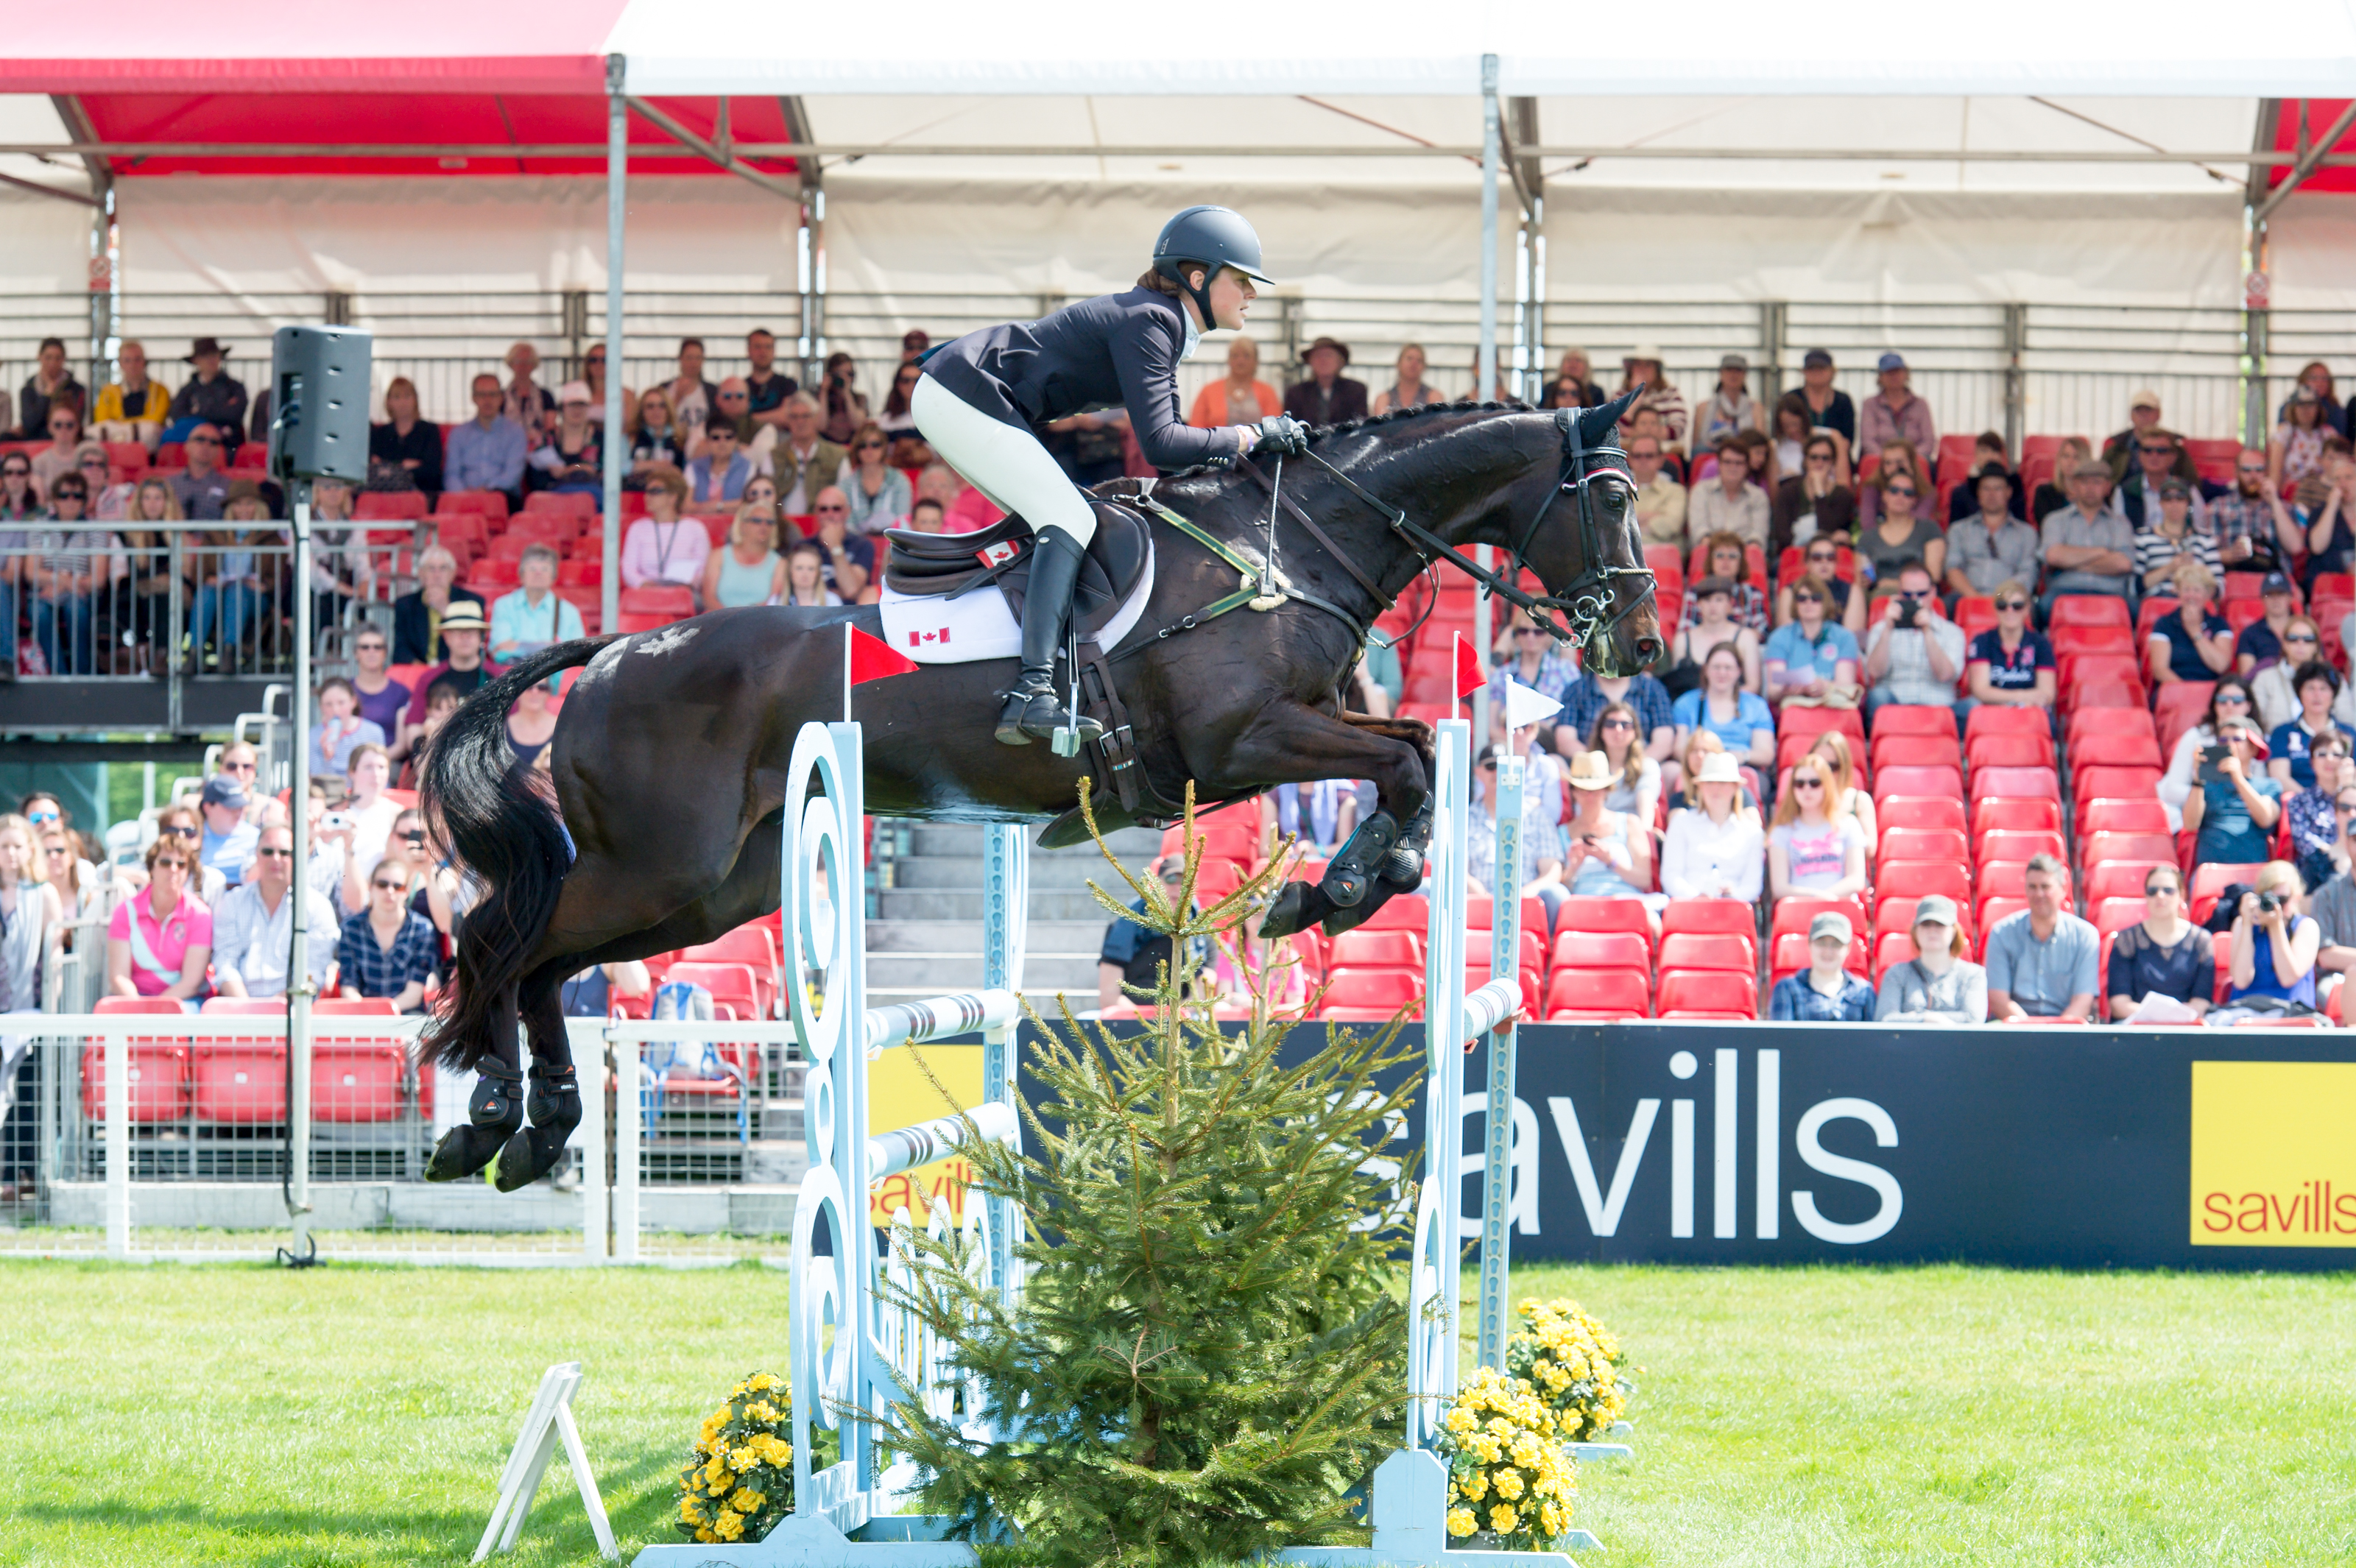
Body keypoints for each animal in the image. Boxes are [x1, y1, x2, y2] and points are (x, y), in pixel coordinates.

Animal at [419, 390, 1658, 1186]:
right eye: (1609, 497)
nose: (1640, 642)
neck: (1295, 546)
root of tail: (614, 650)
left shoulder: (1307, 726)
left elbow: (1415, 755)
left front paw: (1344, 884)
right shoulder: (1242, 743)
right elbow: (1404, 759)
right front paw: (1334, 891)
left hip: (715, 889)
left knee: (541, 958)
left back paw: (532, 1129)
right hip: (657, 867)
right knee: (499, 940)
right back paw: (487, 1118)